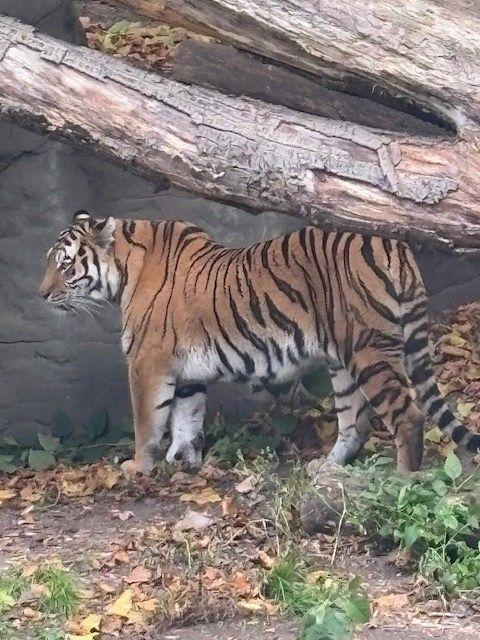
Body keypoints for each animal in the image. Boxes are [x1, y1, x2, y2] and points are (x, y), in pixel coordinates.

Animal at [39, 210, 480, 478]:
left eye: (65, 263)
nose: (41, 294)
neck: (125, 269)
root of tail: (396, 245)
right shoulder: (186, 371)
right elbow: (186, 417)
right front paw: (185, 461)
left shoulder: (147, 362)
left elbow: (147, 421)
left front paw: (138, 467)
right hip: (344, 362)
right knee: (355, 423)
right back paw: (327, 469)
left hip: (370, 352)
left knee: (408, 416)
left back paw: (403, 478)